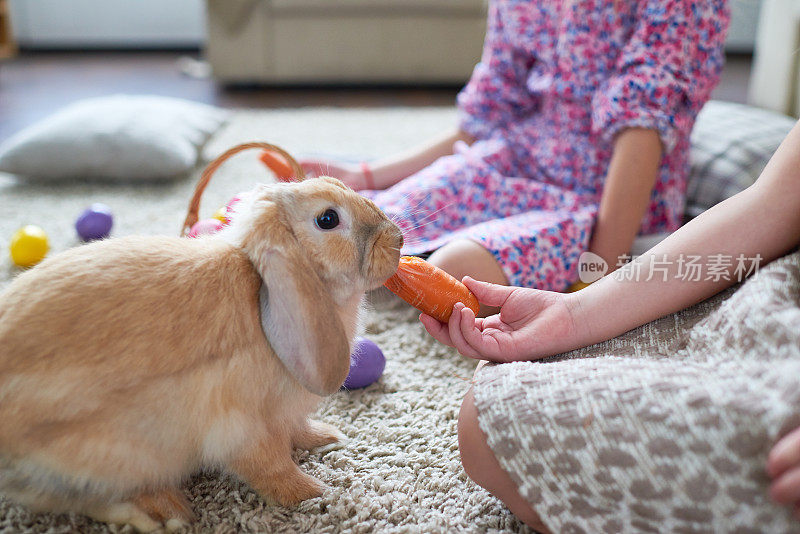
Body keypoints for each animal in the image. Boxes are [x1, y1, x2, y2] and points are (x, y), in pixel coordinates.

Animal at [0, 176, 400, 532]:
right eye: (328, 219)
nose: (397, 239)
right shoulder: (244, 426)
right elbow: (272, 466)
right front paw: (314, 494)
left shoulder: (283, 416)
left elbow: (298, 429)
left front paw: (328, 438)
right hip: (110, 456)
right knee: (77, 499)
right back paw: (163, 514)